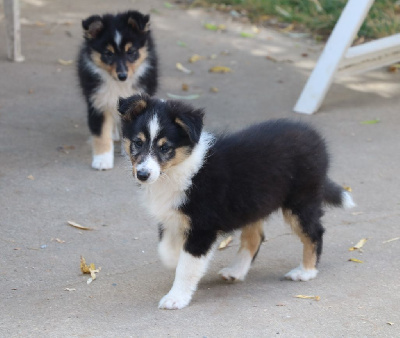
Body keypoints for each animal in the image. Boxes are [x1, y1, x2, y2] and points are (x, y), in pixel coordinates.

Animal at [77, 10, 159, 170]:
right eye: (108, 53)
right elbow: (101, 134)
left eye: (131, 52)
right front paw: (102, 160)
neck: (118, 85)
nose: (122, 76)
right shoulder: (98, 103)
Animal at [117, 93, 354, 310]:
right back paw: (236, 271)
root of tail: (315, 137)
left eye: (165, 148)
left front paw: (176, 298)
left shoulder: (202, 227)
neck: (178, 170)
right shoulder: (169, 217)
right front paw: (174, 259)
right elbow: (166, 250)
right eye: (137, 143)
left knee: (314, 233)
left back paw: (305, 272)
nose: (143, 174)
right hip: (253, 202)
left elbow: (187, 265)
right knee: (255, 237)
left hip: (300, 201)